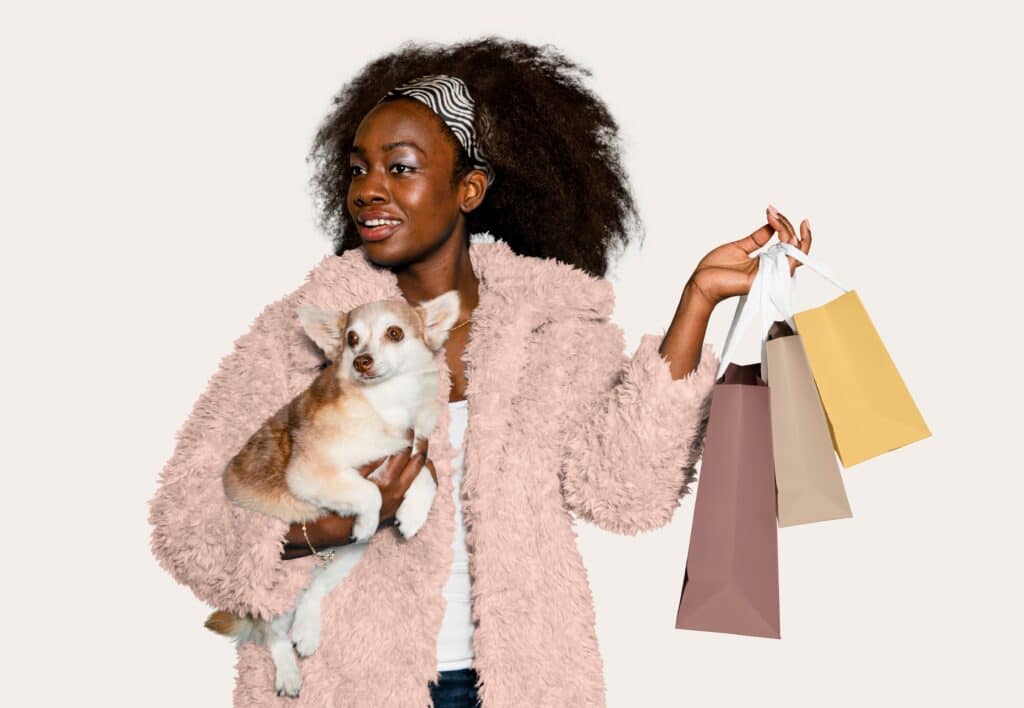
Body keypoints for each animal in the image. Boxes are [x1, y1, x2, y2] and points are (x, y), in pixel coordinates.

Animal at [204, 293, 460, 696]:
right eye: (352, 339)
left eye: (395, 333)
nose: (361, 360)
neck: (384, 404)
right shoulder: (309, 473)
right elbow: (369, 490)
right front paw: (371, 517)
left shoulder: (409, 447)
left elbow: (428, 472)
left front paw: (413, 515)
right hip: (269, 588)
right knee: (274, 635)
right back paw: (289, 675)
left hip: (347, 558)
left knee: (313, 593)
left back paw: (307, 630)